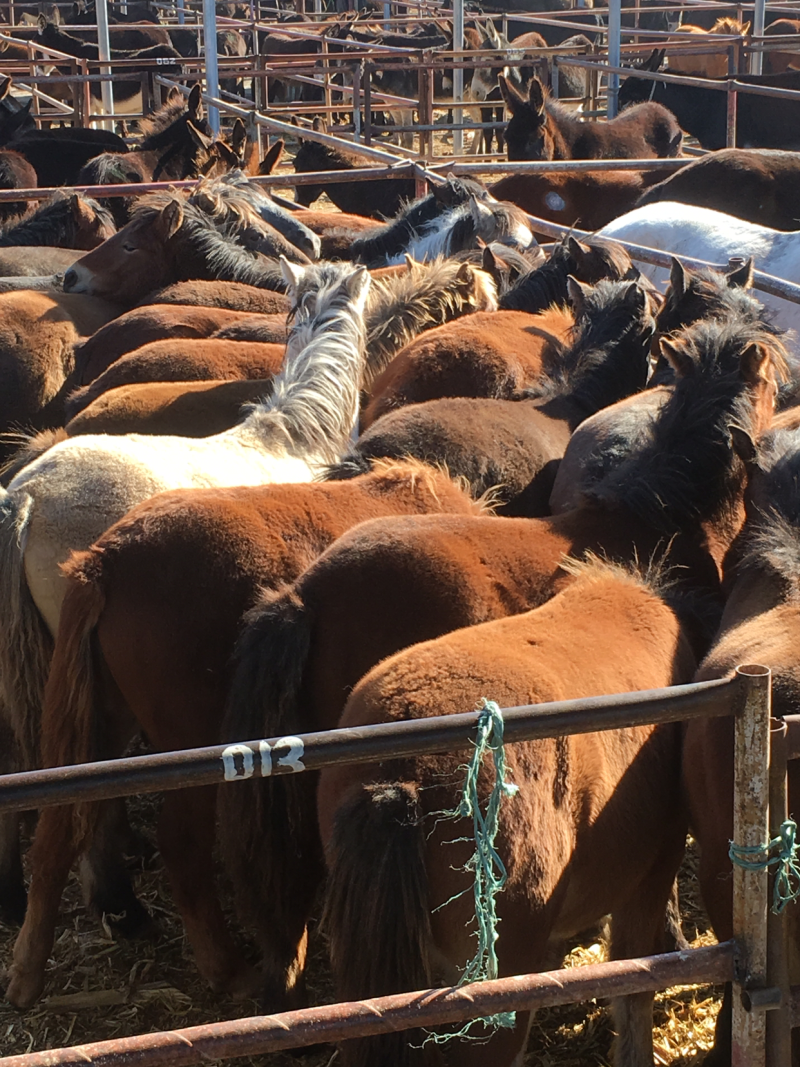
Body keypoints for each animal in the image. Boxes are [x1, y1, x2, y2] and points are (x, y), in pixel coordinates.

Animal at [5, 459, 485, 1009]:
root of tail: (107, 561)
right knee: (180, 845)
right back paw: (228, 970)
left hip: (97, 736)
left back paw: (27, 971)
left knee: (57, 836)